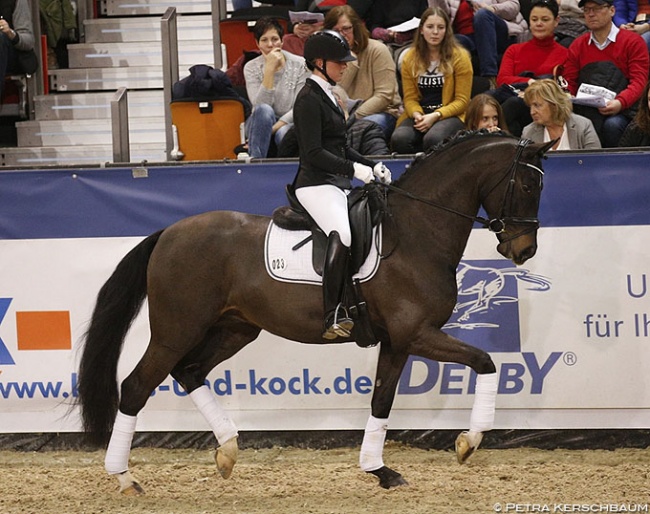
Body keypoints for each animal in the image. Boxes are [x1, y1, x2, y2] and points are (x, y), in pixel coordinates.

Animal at [77, 132, 552, 492]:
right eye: (529, 187)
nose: (524, 251)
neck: (416, 232)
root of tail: (168, 233)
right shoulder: (417, 333)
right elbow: (485, 361)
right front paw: (469, 442)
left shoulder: (398, 342)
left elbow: (382, 401)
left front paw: (379, 470)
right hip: (176, 330)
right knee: (136, 386)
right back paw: (124, 477)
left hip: (235, 329)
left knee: (189, 371)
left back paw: (227, 450)